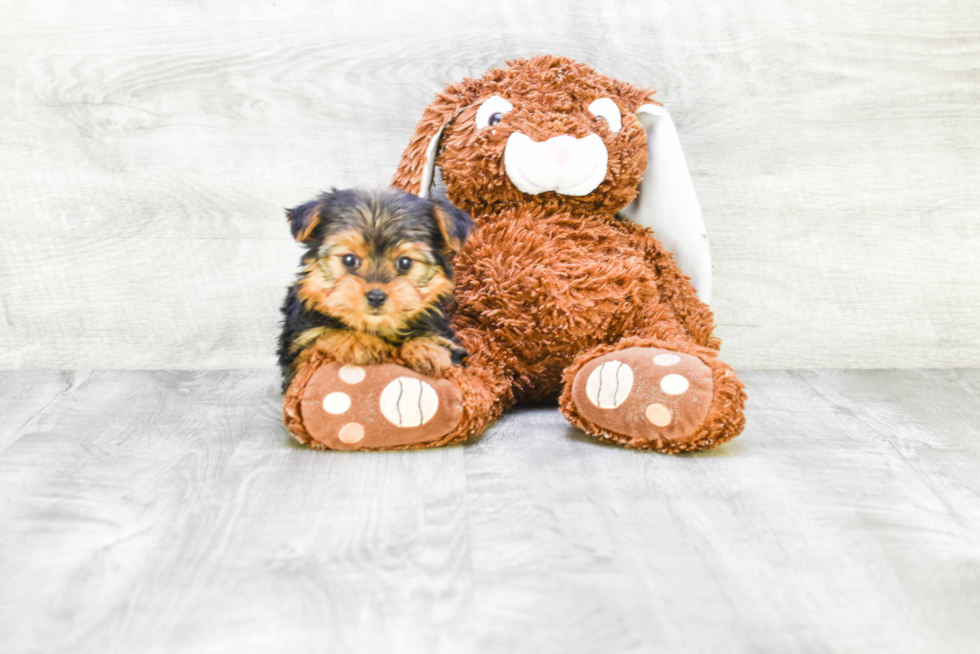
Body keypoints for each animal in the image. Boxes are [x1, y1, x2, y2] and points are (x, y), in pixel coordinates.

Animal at [278, 186, 476, 390]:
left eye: (405, 263)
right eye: (349, 260)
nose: (376, 296)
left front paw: (427, 348)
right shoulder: (299, 353)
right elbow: (323, 337)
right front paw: (360, 343)